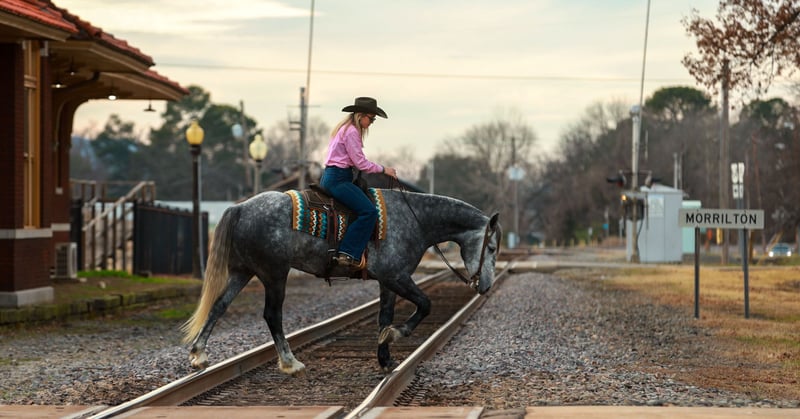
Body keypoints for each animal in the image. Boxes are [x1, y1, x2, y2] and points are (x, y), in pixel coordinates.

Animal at [181, 188, 501, 374]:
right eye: (492, 247)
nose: (485, 286)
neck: (415, 218)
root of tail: (241, 208)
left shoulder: (388, 281)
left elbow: (384, 317)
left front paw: (385, 358)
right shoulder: (396, 275)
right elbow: (425, 304)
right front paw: (396, 336)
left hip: (242, 271)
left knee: (219, 306)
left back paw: (199, 355)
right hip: (274, 274)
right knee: (272, 314)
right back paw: (290, 362)